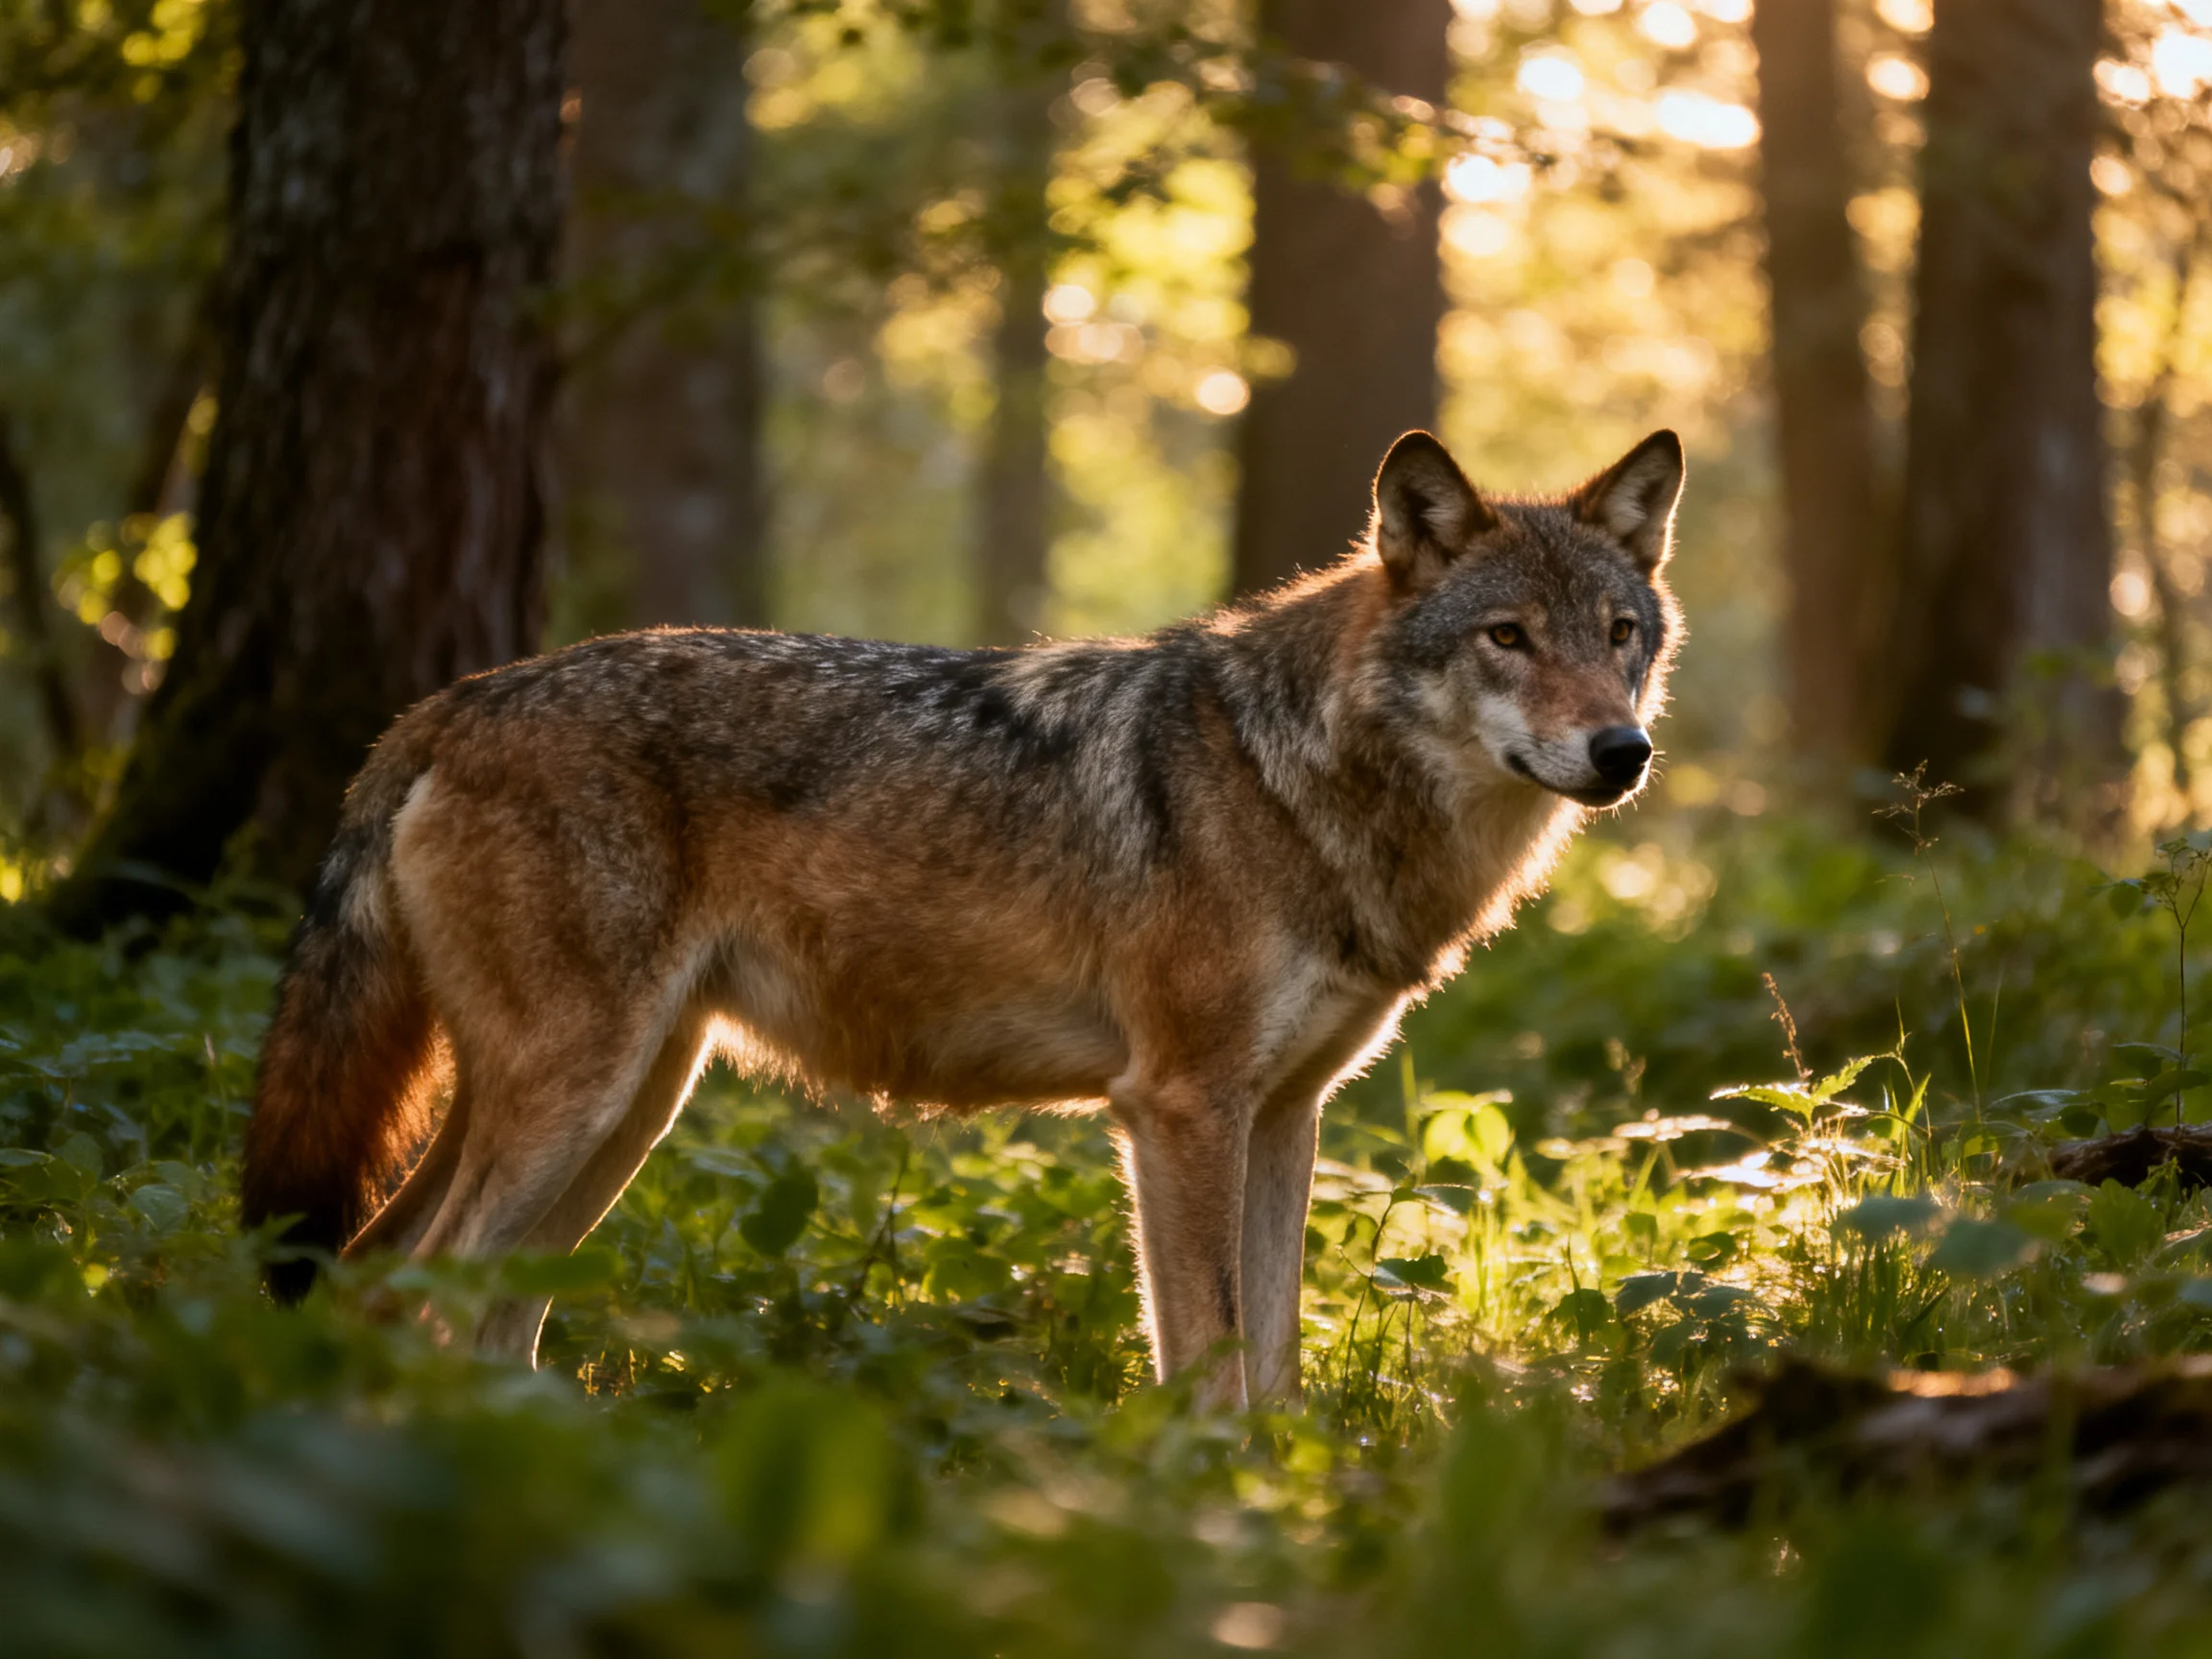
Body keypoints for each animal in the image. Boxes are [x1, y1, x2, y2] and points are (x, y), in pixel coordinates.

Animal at [240, 428, 1684, 1409]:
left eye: (1620, 634)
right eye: (1508, 638)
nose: (1623, 753)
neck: (1306, 784)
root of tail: (445, 705)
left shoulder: (1285, 1116)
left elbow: (1272, 1364)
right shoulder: (1180, 1108)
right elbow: (1208, 1359)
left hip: (628, 1105)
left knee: (425, 1291)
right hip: (579, 1101)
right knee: (412, 1289)